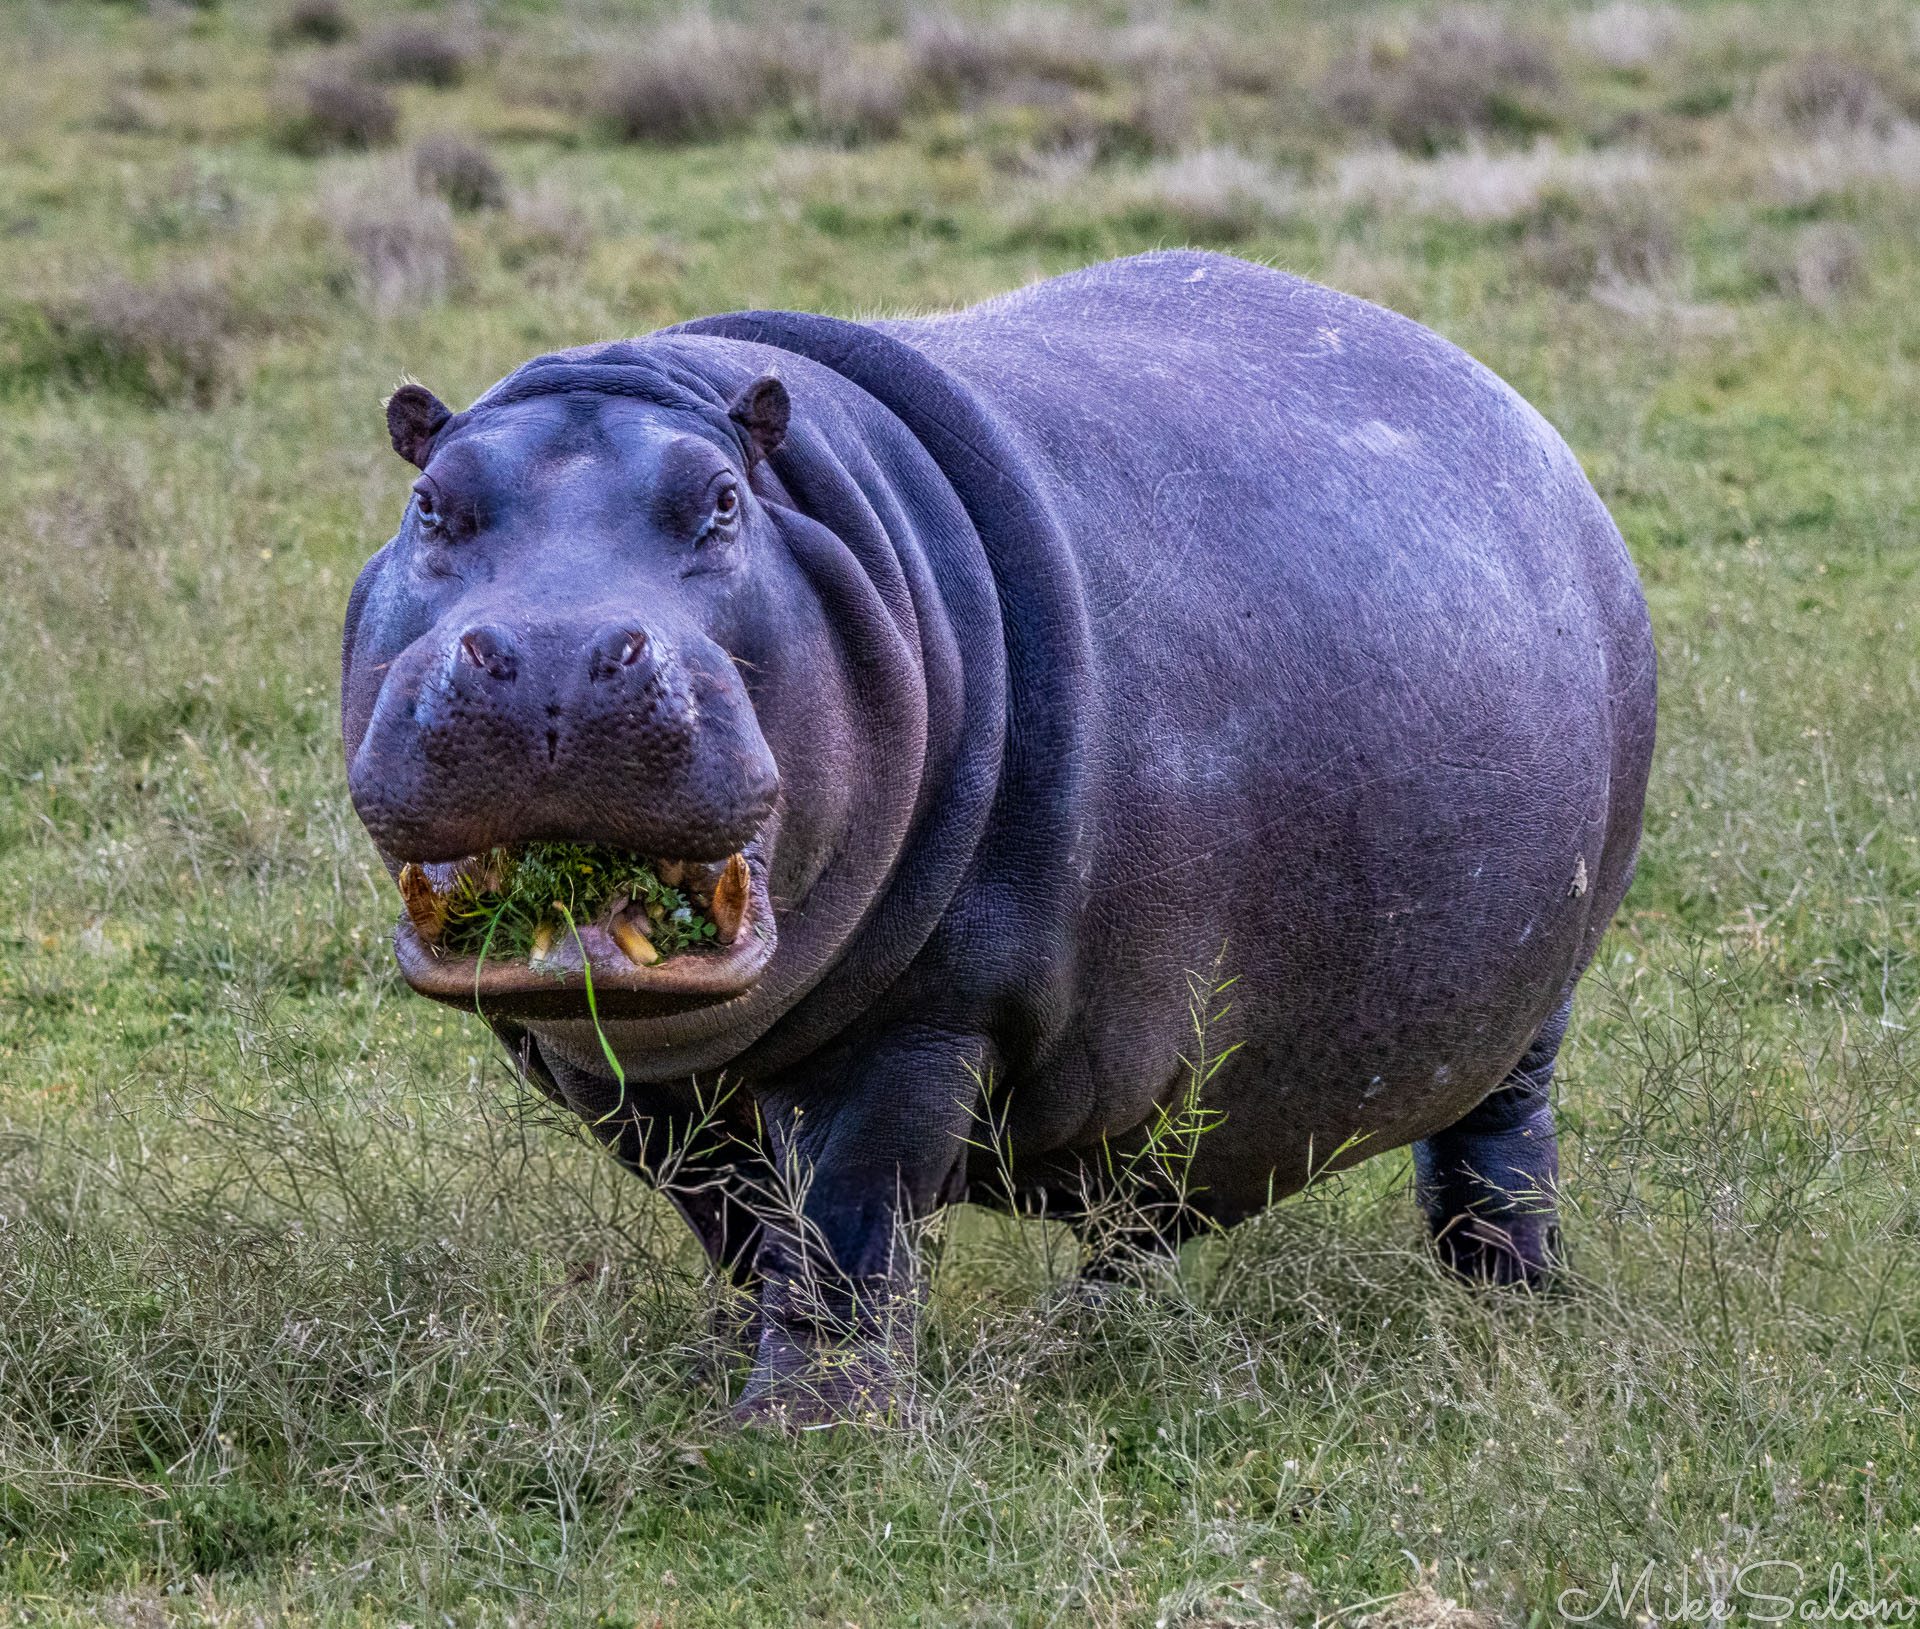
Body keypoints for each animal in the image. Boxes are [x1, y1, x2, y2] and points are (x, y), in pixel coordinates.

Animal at [342, 250, 1656, 1419]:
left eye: (719, 501)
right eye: (429, 504)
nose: (555, 655)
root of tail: (1519, 415)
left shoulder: (923, 1018)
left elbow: (842, 1223)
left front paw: (808, 1431)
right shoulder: (618, 1082)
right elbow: (733, 1221)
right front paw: (717, 1370)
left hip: (1540, 995)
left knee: (1498, 1145)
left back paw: (1509, 1305)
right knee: (1146, 1202)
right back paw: (1102, 1331)